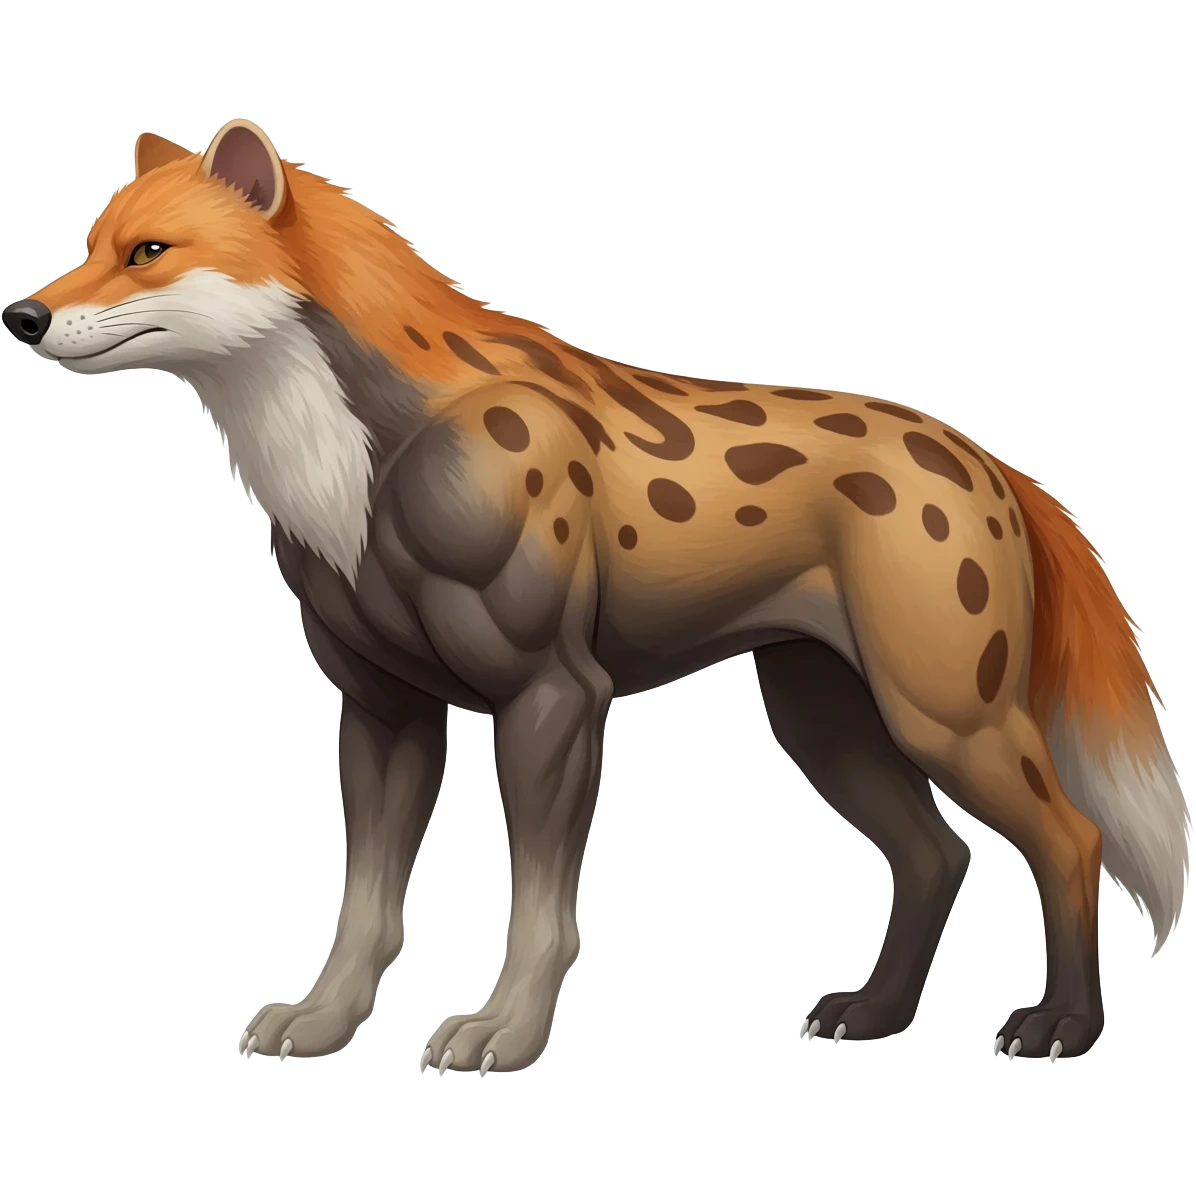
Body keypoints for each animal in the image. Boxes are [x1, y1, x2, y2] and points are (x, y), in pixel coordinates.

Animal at [4, 117, 1190, 1072]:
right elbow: (367, 904)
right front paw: (322, 1022)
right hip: (822, 712)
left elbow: (542, 906)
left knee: (1068, 835)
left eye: (150, 251)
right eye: (88, 243)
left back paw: (1059, 1026)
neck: (352, 461)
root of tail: (983, 459)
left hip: (943, 710)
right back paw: (873, 1014)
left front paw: (501, 1034)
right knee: (935, 852)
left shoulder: (550, 696)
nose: (23, 314)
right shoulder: (383, 706)